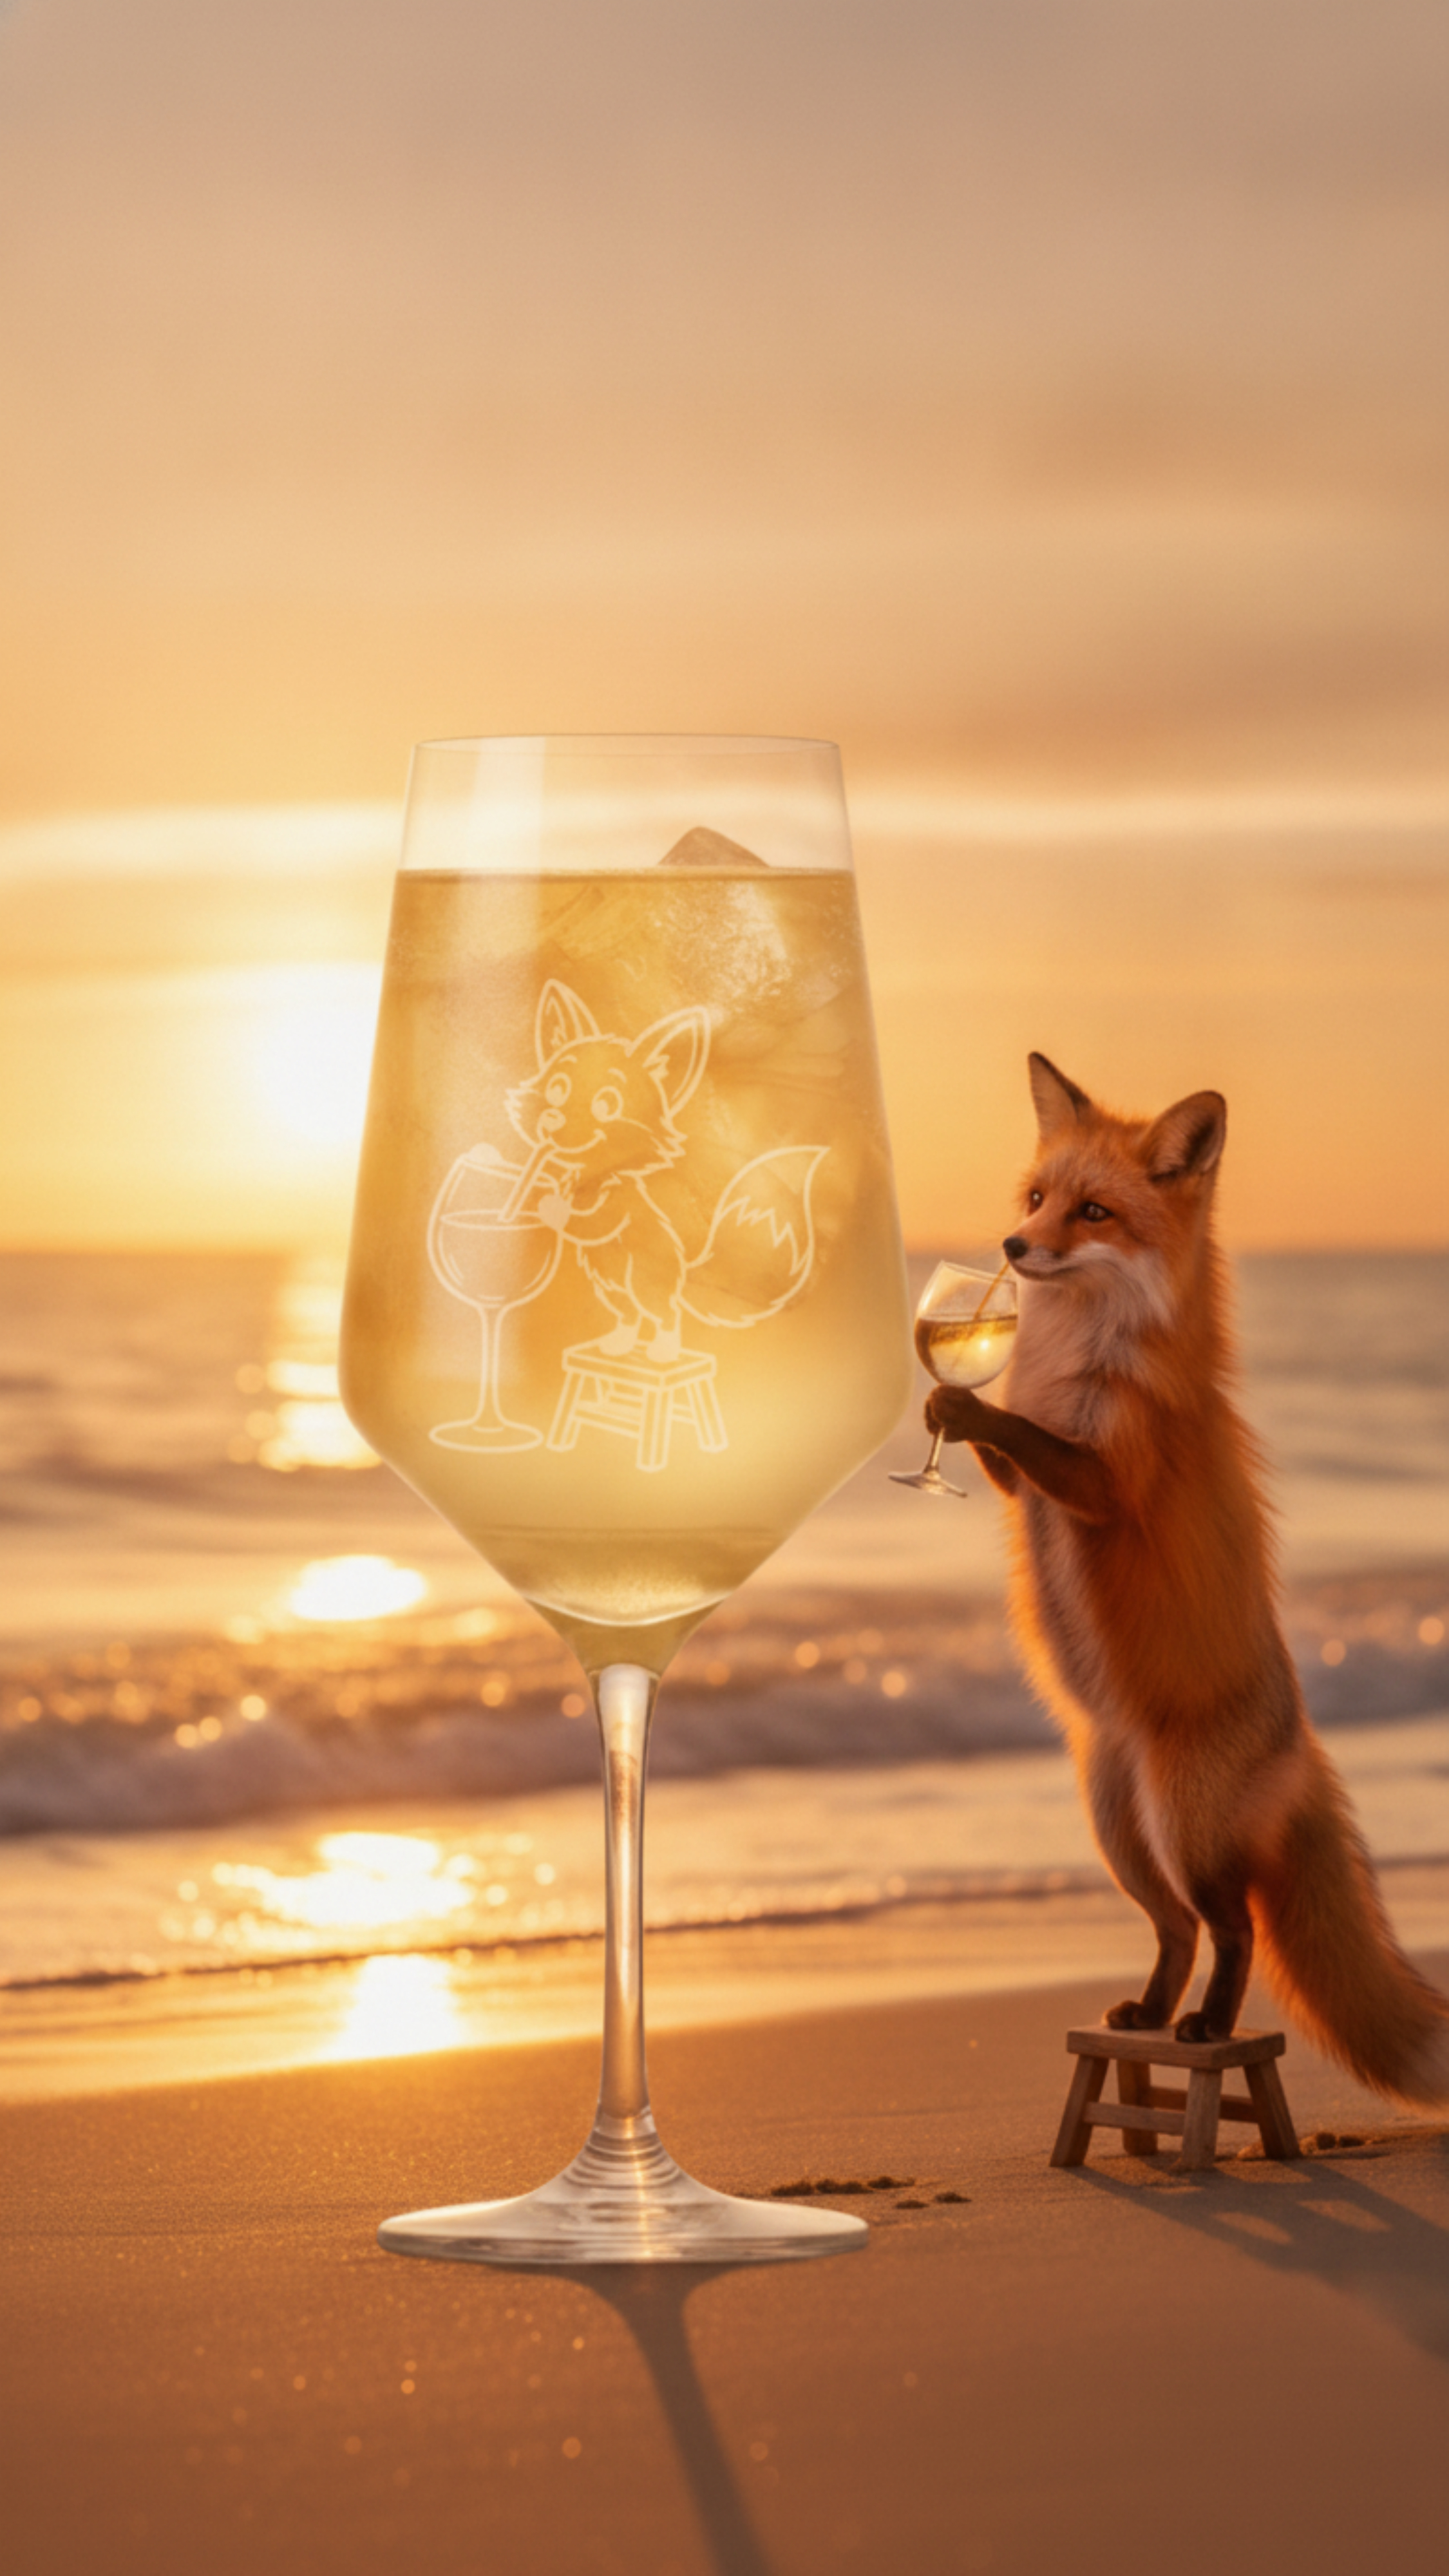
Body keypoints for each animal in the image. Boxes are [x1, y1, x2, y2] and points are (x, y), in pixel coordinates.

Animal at [508, 981, 822, 1362]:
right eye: (557, 1087)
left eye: (607, 1103)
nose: (551, 1121)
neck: (601, 1175)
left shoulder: (618, 1206)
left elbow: (593, 1222)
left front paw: (551, 1207)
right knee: (629, 1314)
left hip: (645, 1283)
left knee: (665, 1314)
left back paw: (661, 1351)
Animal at [926, 1051, 1449, 2104]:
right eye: (1037, 1198)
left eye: (1092, 1213)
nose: (1012, 1243)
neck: (1084, 1351)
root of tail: (1301, 1747)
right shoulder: (1026, 1490)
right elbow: (1007, 1459)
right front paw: (931, 1402)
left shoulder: (1110, 1482)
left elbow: (1033, 1437)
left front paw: (971, 1405)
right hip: (1119, 1833)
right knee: (1174, 1929)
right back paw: (1152, 2013)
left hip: (1185, 1833)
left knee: (1232, 1928)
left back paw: (1207, 2026)